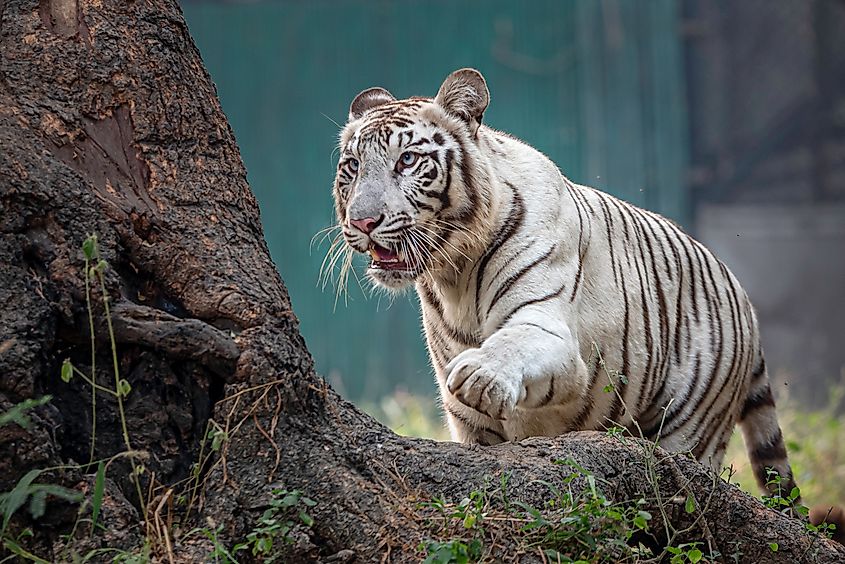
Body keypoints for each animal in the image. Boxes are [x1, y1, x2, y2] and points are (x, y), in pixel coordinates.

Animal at [330, 68, 796, 499]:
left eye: (407, 161)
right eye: (352, 166)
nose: (363, 222)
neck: (454, 275)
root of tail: (742, 294)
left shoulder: (551, 331)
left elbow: (513, 343)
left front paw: (479, 376)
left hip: (692, 427)